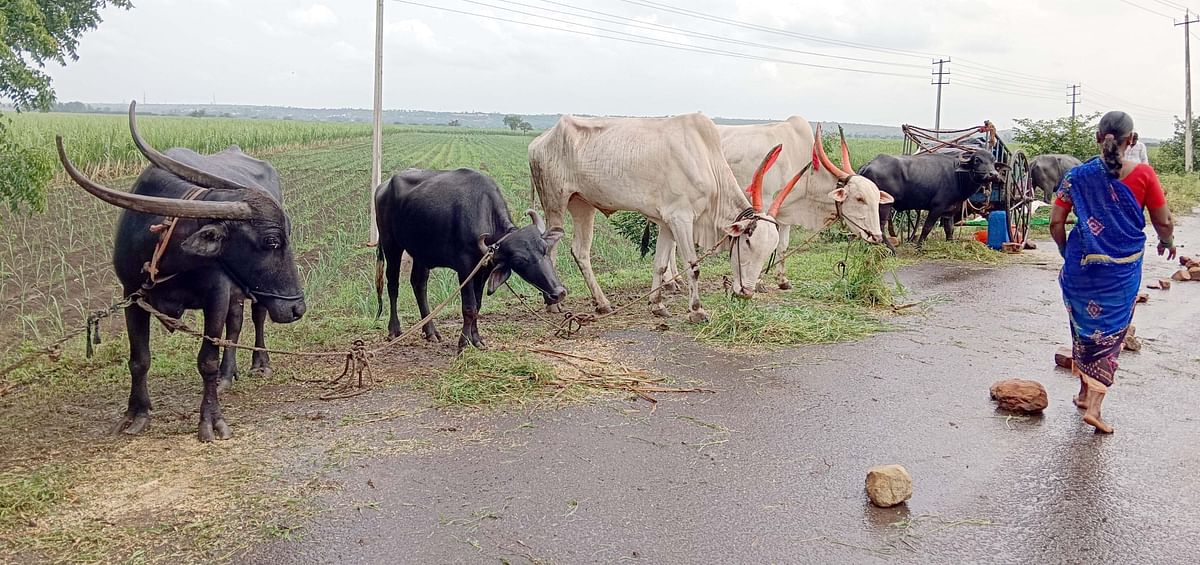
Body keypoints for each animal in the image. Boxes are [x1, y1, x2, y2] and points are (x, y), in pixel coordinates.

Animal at [58, 102, 307, 446]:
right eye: (272, 241)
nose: (298, 308)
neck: (167, 248)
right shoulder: (131, 295)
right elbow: (140, 359)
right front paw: (136, 414)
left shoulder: (216, 294)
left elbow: (207, 360)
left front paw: (211, 420)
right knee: (235, 324)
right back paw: (229, 375)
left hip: (257, 293)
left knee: (256, 317)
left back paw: (260, 364)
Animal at [374, 166, 566, 350]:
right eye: (519, 261)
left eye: (545, 249)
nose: (559, 293)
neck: (484, 214)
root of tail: (382, 187)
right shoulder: (465, 268)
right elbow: (469, 306)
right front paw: (464, 342)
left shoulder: (484, 269)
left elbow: (477, 305)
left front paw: (476, 339)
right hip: (391, 244)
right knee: (393, 284)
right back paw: (394, 330)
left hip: (421, 252)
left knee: (419, 284)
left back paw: (431, 332)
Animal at [864, 149, 1003, 248]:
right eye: (977, 160)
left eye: (993, 161)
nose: (993, 174)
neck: (956, 176)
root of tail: (869, 164)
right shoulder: (937, 207)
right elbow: (927, 227)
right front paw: (919, 246)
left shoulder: (950, 210)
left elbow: (949, 229)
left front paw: (950, 243)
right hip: (884, 205)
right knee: (879, 227)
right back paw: (891, 250)